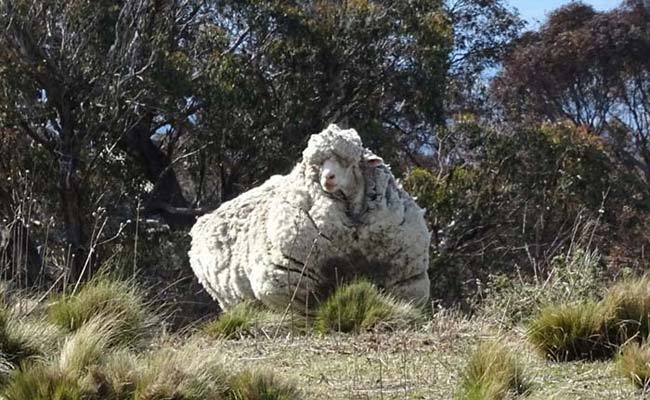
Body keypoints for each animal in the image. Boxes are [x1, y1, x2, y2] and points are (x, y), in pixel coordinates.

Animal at [188, 124, 431, 312]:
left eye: (350, 162)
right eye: (318, 164)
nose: (328, 178)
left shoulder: (405, 281)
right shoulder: (290, 283)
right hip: (230, 299)